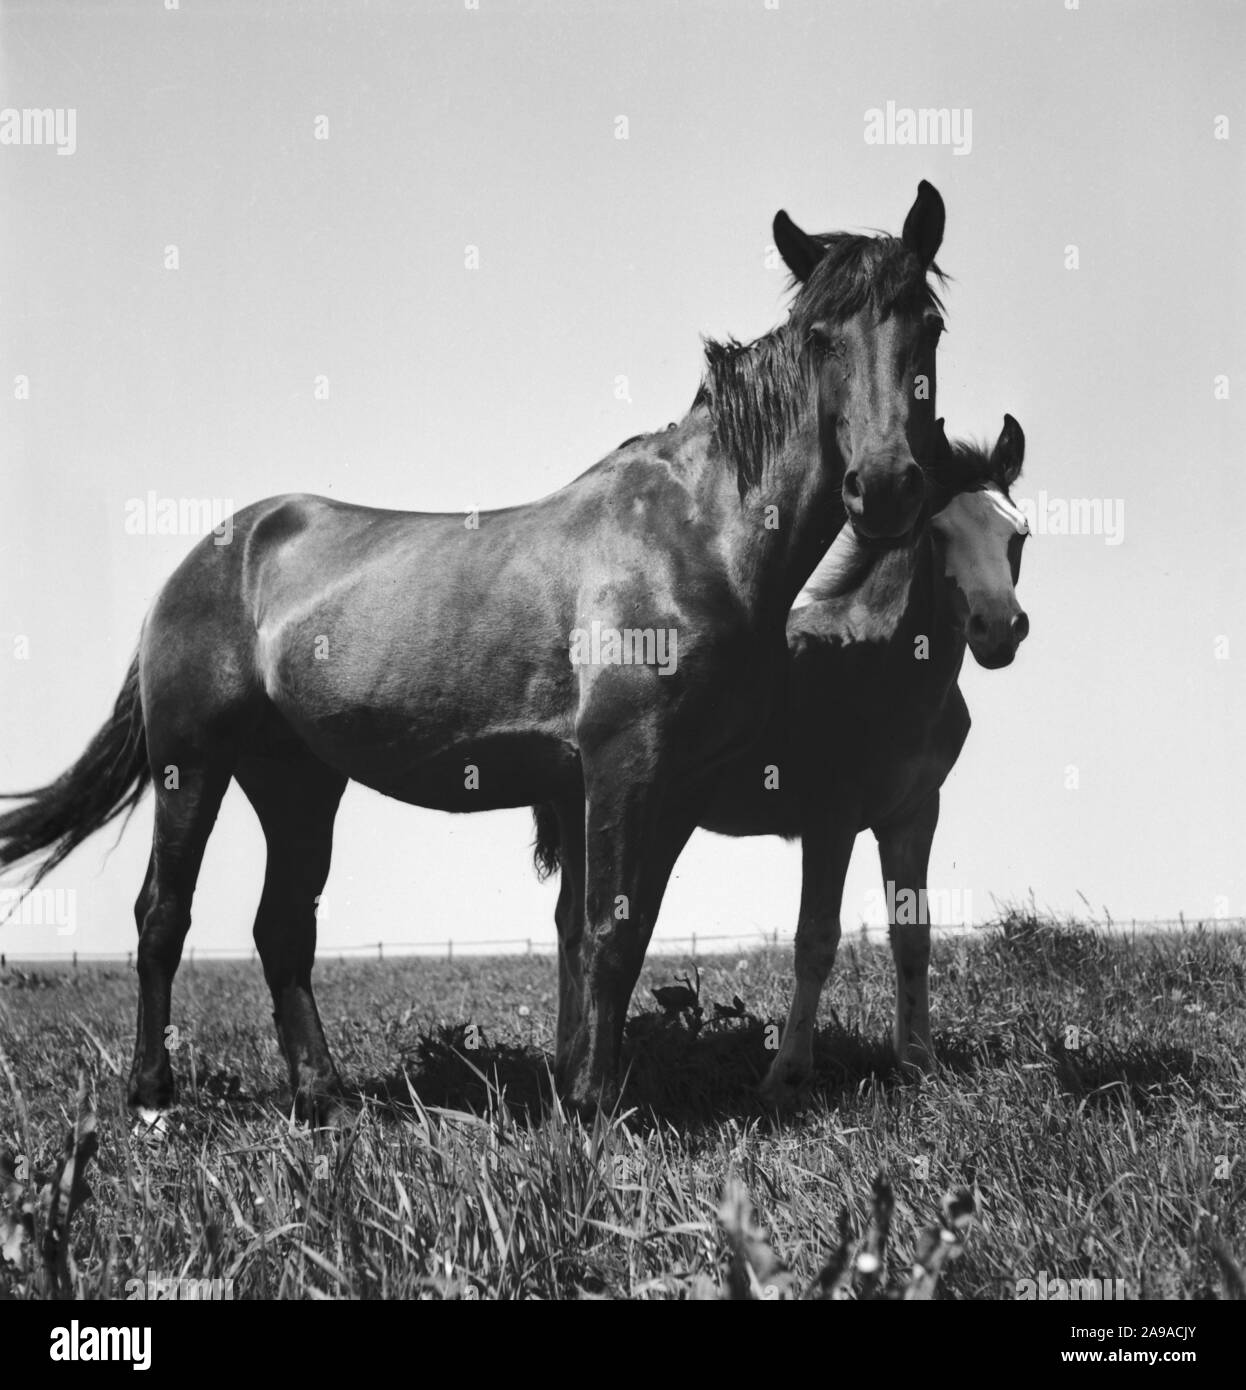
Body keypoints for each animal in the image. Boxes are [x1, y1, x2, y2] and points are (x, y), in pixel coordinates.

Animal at [0, 182, 951, 1117]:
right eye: (822, 339)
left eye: (928, 327)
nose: (885, 487)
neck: (696, 535)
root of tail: (210, 554)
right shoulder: (625, 765)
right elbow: (606, 934)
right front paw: (593, 1110)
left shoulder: (666, 789)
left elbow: (609, 933)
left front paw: (579, 1088)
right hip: (192, 764)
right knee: (163, 915)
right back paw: (152, 1097)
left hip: (297, 780)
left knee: (283, 930)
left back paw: (325, 1098)